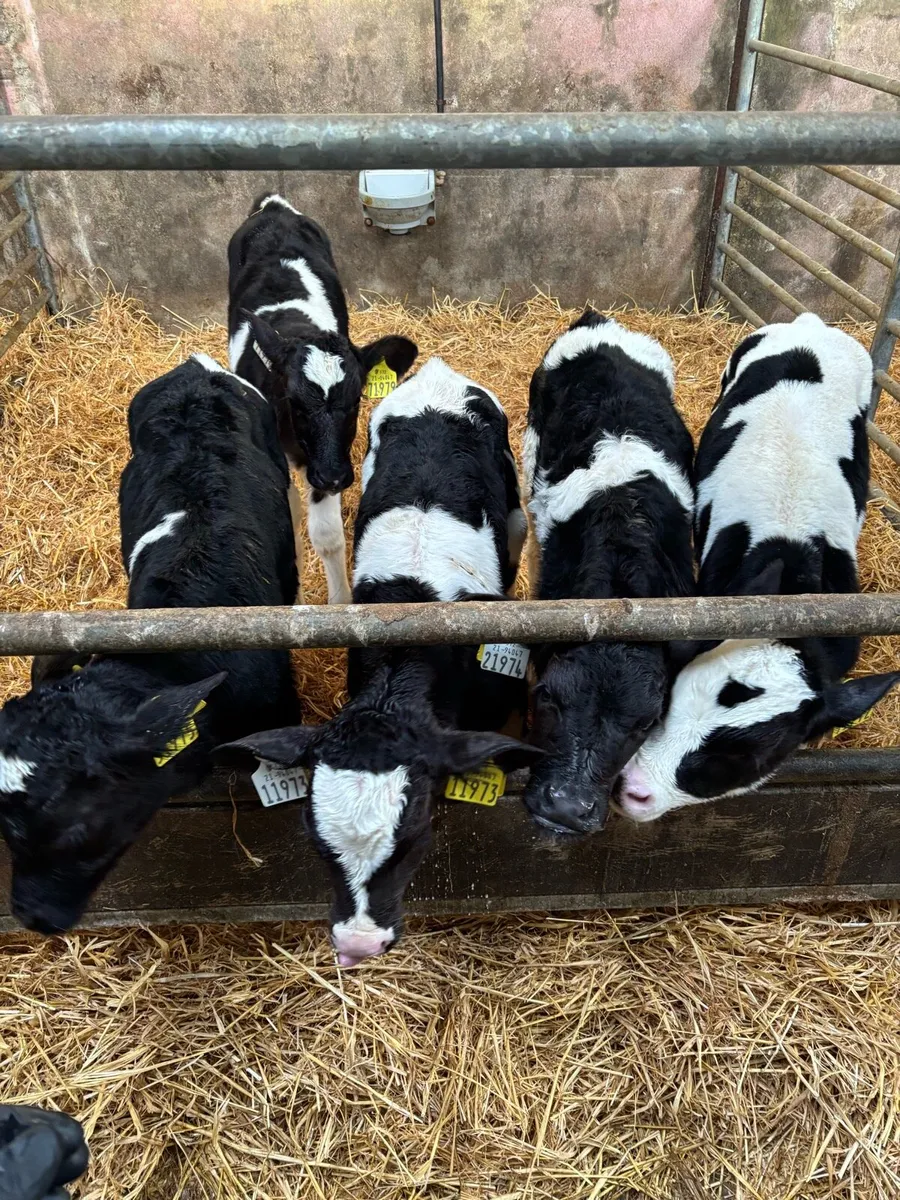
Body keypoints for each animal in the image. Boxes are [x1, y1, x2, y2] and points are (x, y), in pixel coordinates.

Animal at [227, 193, 418, 604]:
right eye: (295, 403)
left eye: (357, 400)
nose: (335, 477)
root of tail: (274, 206)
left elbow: (327, 536)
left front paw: (340, 603)